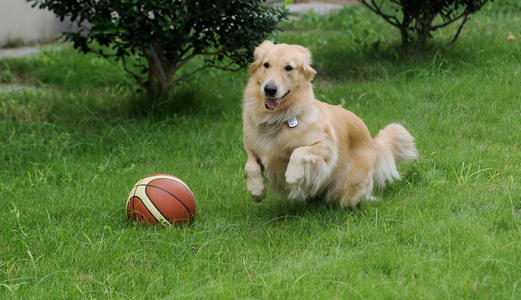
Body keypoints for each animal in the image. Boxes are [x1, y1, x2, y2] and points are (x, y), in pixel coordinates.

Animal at [242, 41, 416, 207]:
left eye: (289, 68)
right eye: (266, 65)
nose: (269, 89)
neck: (277, 119)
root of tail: (372, 142)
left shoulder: (327, 148)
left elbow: (298, 152)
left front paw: (292, 177)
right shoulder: (252, 147)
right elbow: (250, 165)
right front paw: (256, 190)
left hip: (347, 185)